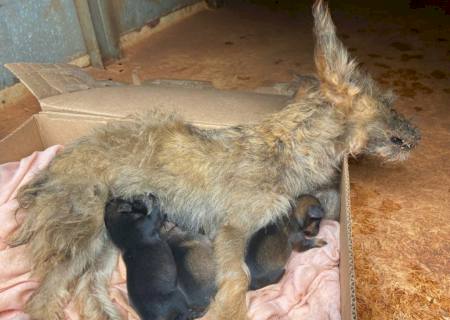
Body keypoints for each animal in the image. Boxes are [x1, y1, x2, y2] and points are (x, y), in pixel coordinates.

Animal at [10, 1, 418, 318]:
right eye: (388, 102)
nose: (419, 134)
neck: (290, 144)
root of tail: (54, 166)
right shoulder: (234, 228)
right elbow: (238, 277)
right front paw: (226, 310)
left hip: (107, 240)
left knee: (89, 288)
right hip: (83, 235)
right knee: (41, 299)